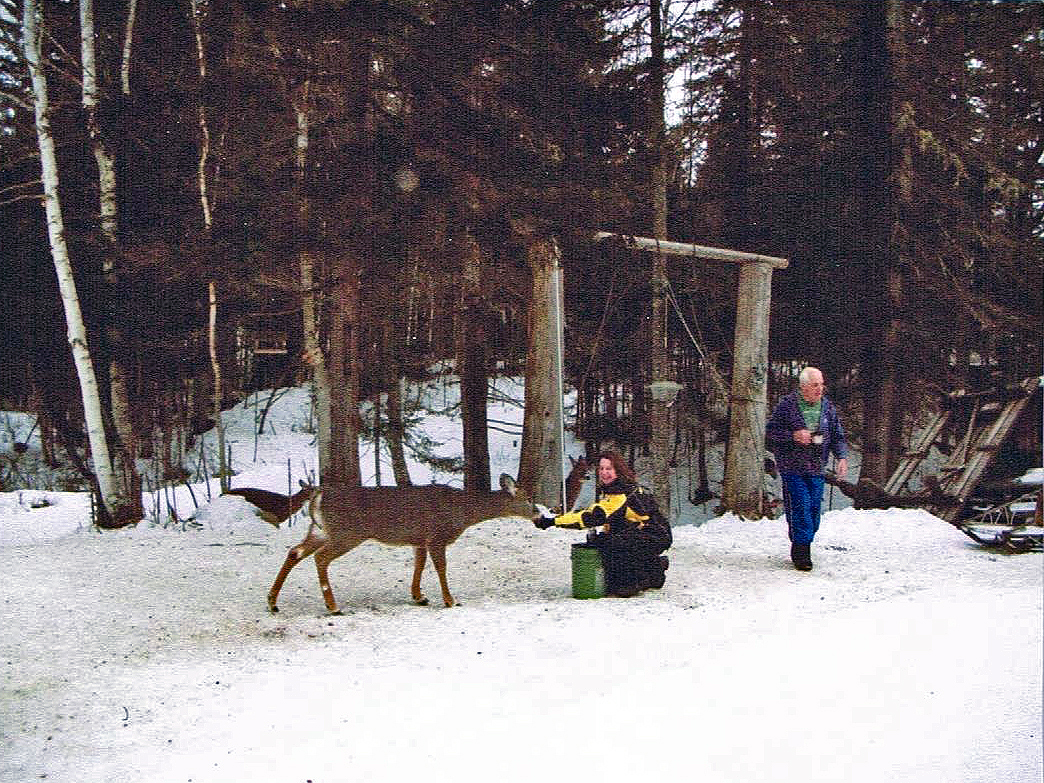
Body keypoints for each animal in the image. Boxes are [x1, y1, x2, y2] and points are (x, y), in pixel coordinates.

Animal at [267, 476, 538, 618]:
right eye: (529, 499)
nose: (541, 515)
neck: (464, 510)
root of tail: (318, 495)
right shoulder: (437, 536)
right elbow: (441, 567)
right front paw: (450, 600)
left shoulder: (420, 539)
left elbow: (419, 564)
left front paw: (419, 596)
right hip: (347, 532)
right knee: (321, 558)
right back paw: (333, 607)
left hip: (320, 530)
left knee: (294, 551)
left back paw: (272, 602)